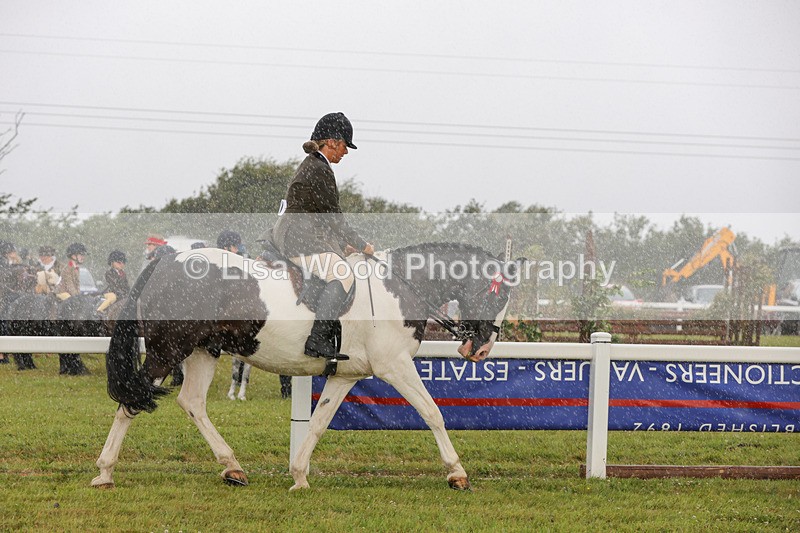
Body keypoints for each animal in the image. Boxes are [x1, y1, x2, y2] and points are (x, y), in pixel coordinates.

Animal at [91, 243, 519, 491]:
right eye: (498, 296)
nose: (480, 349)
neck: (399, 287)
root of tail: (166, 261)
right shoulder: (395, 366)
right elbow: (432, 412)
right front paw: (457, 473)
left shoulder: (345, 375)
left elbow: (319, 422)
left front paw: (299, 475)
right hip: (168, 350)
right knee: (130, 403)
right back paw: (105, 471)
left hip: (202, 351)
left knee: (192, 402)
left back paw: (232, 468)